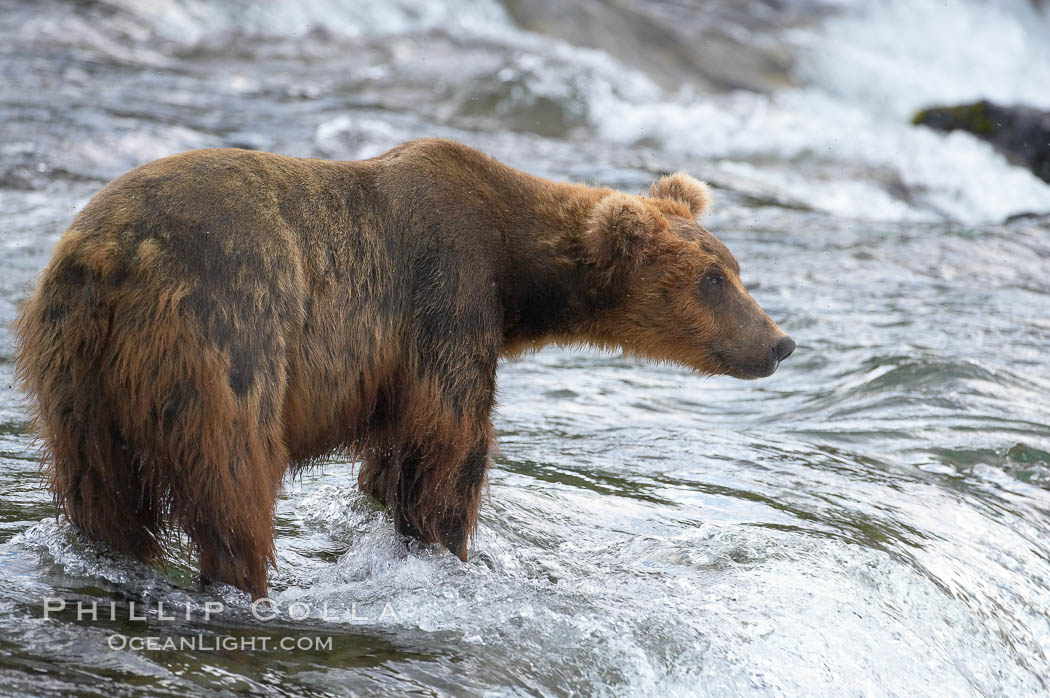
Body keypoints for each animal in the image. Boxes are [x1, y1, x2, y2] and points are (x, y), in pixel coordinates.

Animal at [16, 137, 789, 600]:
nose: (780, 342)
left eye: (733, 268)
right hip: (223, 336)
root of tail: (108, 256)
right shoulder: (447, 295)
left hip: (75, 370)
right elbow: (448, 449)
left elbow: (392, 462)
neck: (515, 272)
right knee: (232, 479)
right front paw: (448, 546)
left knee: (100, 488)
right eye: (713, 279)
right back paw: (247, 579)